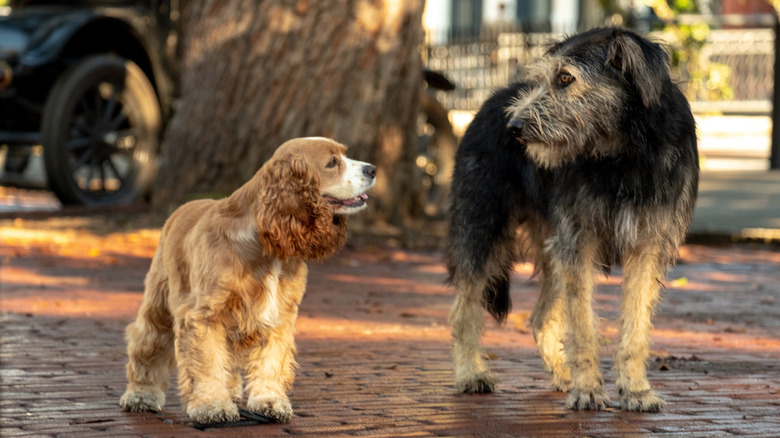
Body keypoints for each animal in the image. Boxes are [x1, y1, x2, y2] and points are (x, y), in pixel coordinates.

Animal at [444, 26, 700, 410]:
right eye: (540, 80)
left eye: (565, 78)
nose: (513, 127)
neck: (622, 154)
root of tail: (490, 101)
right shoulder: (578, 241)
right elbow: (581, 325)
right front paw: (589, 390)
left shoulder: (647, 245)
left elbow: (636, 325)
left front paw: (635, 390)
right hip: (481, 229)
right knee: (463, 311)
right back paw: (470, 374)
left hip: (552, 249)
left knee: (538, 318)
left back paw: (562, 374)